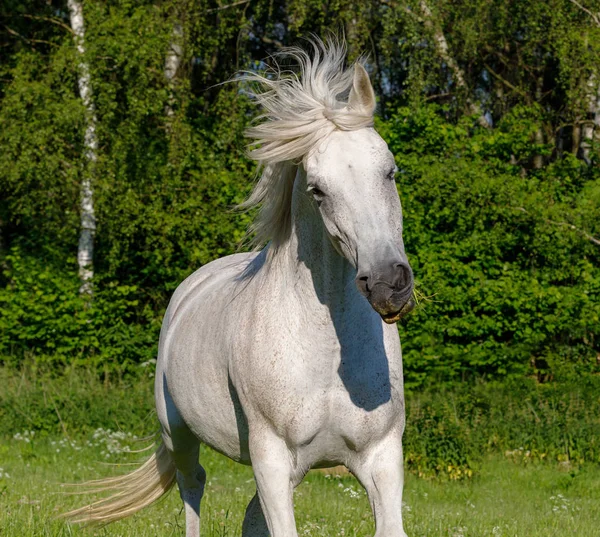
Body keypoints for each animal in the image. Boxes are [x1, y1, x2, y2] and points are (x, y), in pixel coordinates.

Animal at [67, 39, 412, 536]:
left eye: (390, 171)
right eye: (317, 189)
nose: (388, 284)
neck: (328, 353)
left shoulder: (380, 459)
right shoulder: (272, 461)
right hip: (181, 435)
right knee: (192, 487)